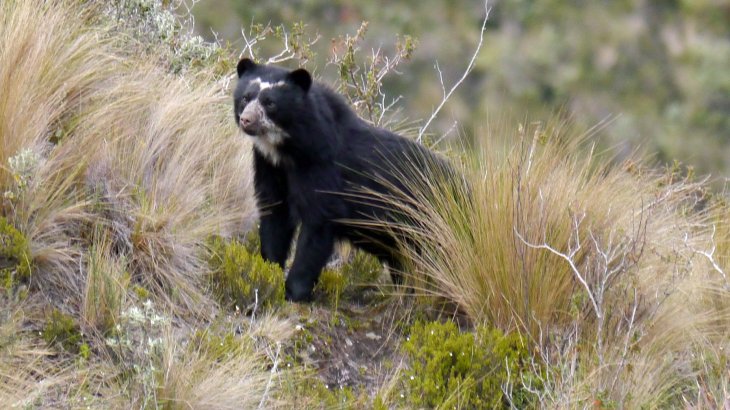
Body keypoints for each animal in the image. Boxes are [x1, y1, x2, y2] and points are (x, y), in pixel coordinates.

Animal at [233, 57, 452, 302]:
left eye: (270, 103)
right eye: (245, 98)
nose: (246, 120)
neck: (288, 150)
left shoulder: (323, 169)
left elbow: (317, 224)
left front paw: (295, 292)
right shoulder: (270, 168)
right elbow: (275, 216)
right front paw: (269, 272)